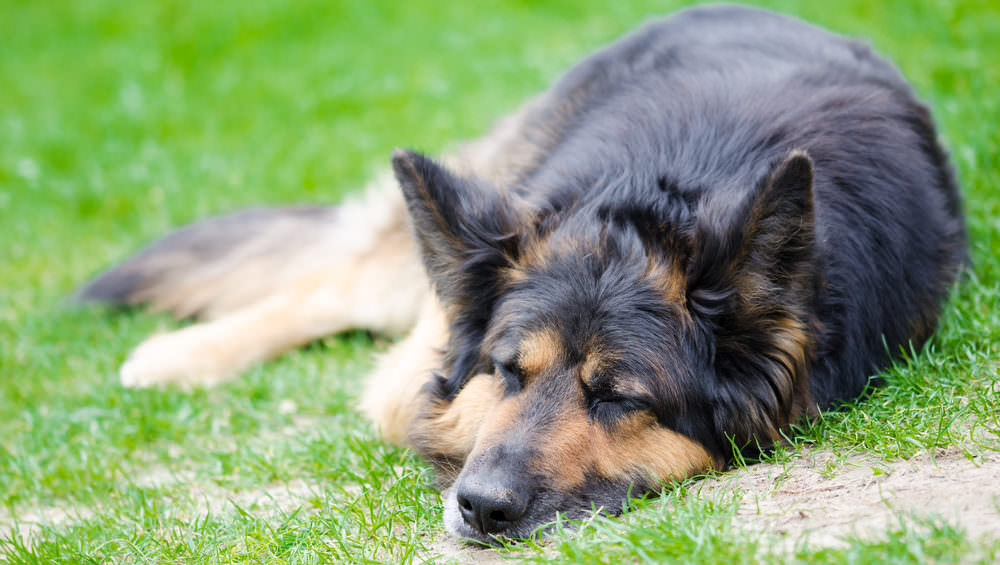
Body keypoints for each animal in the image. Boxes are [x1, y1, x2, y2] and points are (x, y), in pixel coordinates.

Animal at [82, 3, 964, 540]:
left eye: (618, 398)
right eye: (508, 371)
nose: (479, 508)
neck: (670, 182)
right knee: (331, 284)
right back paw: (178, 354)